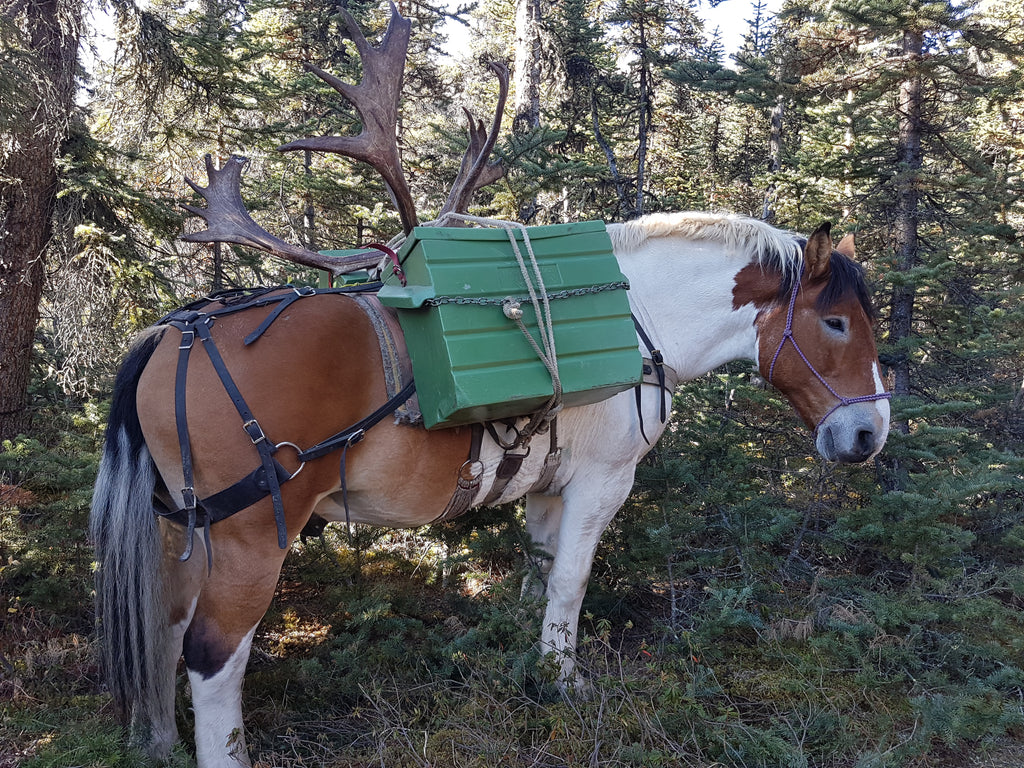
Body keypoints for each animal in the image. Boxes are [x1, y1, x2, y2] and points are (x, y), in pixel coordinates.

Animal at [90, 211, 888, 768]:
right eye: (835, 321)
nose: (869, 435)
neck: (640, 322)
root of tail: (172, 334)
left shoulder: (548, 488)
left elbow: (538, 577)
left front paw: (523, 665)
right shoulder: (602, 483)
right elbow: (569, 585)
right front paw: (563, 683)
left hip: (179, 530)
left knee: (162, 626)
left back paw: (157, 738)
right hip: (252, 536)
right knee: (211, 653)